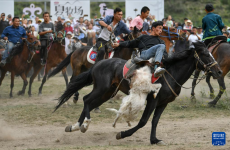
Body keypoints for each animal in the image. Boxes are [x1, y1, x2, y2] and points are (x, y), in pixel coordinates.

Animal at [48, 26, 185, 102]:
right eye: (173, 29)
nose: (183, 35)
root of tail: (75, 50)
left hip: (82, 69)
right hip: (77, 68)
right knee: (73, 80)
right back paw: (75, 98)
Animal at [54, 41, 223, 145]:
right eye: (206, 54)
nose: (220, 71)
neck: (170, 73)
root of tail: (98, 64)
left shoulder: (163, 103)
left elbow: (155, 121)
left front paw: (154, 140)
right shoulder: (153, 101)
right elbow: (143, 121)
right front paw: (122, 134)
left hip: (107, 92)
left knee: (88, 101)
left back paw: (76, 126)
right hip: (102, 89)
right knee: (87, 100)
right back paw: (84, 125)